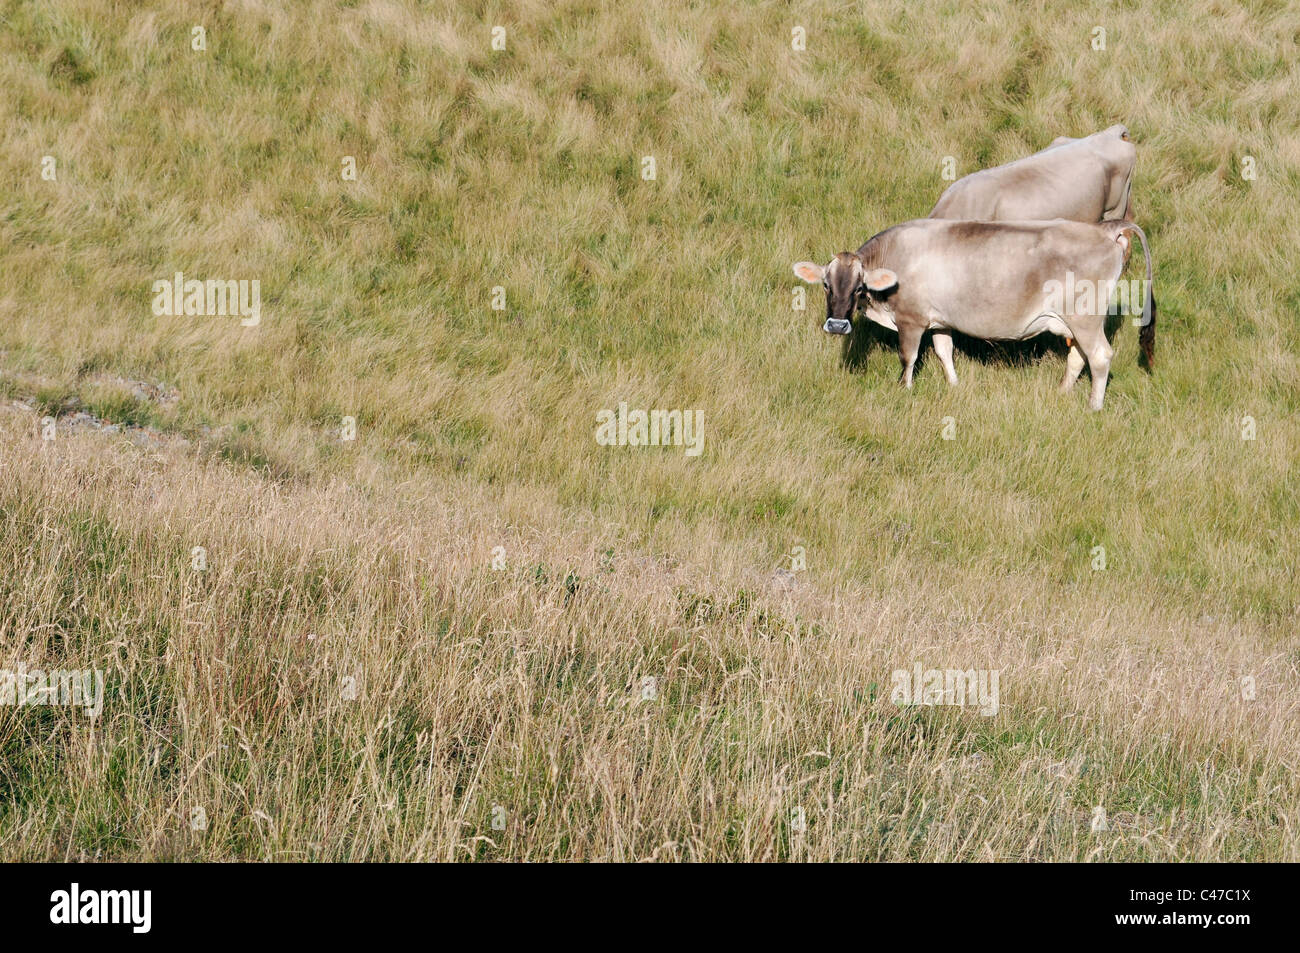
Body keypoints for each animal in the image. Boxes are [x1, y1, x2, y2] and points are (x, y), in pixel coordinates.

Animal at [792, 217, 1154, 411]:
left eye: (858, 288)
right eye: (825, 284)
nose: (837, 325)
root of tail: (1103, 230)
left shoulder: (912, 319)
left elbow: (908, 357)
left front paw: (904, 389)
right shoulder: (941, 320)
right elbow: (944, 351)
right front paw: (953, 384)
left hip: (1085, 318)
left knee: (1100, 356)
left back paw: (1094, 405)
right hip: (1072, 321)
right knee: (1078, 356)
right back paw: (1062, 392)